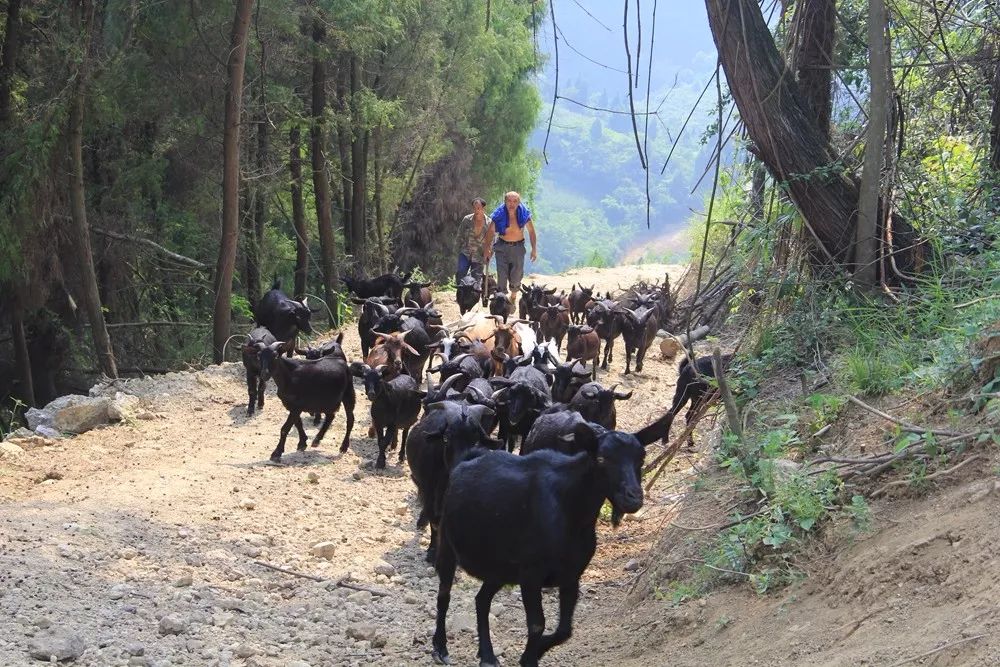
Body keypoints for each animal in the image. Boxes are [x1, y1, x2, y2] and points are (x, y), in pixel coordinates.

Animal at [432, 418, 672, 667]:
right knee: (444, 595)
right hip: (447, 545)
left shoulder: (571, 574)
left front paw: (535, 652)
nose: (633, 498)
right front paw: (529, 658)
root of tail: (464, 461)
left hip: (500, 568)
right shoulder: (531, 574)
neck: (572, 512)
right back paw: (441, 648)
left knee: (482, 600)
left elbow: (565, 630)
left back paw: (487, 656)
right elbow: (537, 624)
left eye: (640, 458)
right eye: (601, 458)